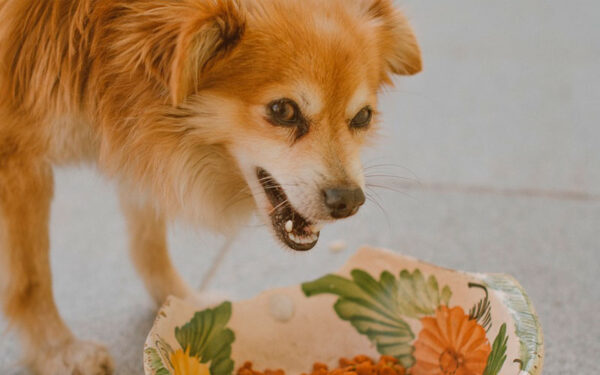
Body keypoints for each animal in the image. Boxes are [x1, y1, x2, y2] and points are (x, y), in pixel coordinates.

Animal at [0, 0, 422, 374]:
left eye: (362, 117)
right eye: (283, 110)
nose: (349, 200)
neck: (101, 35)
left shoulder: (136, 139)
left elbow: (148, 238)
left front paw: (181, 303)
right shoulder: (16, 157)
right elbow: (31, 277)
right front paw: (59, 351)